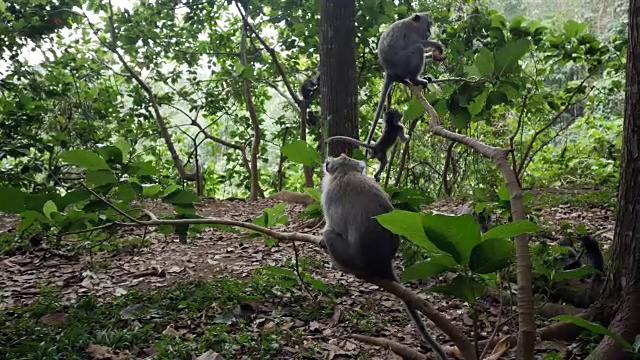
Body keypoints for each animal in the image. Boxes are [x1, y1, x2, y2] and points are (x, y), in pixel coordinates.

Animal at [320, 155, 450, 360]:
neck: (347, 172)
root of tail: (383, 263)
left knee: (331, 235)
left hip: (350, 258)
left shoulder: (331, 196)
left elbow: (334, 226)